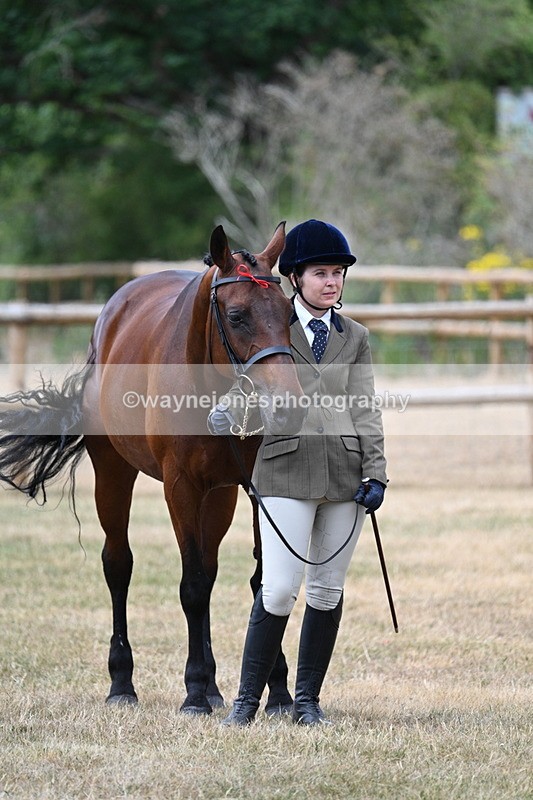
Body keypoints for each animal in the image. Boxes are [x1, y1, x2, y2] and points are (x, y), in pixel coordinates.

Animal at [0, 222, 306, 715]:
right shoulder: (179, 487)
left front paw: (275, 691)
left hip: (219, 495)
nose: (288, 405)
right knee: (118, 565)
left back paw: (215, 687)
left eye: (288, 316)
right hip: (114, 475)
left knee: (209, 565)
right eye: (237, 315)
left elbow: (261, 579)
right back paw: (123, 683)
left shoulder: (249, 486)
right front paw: (194, 692)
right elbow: (192, 585)